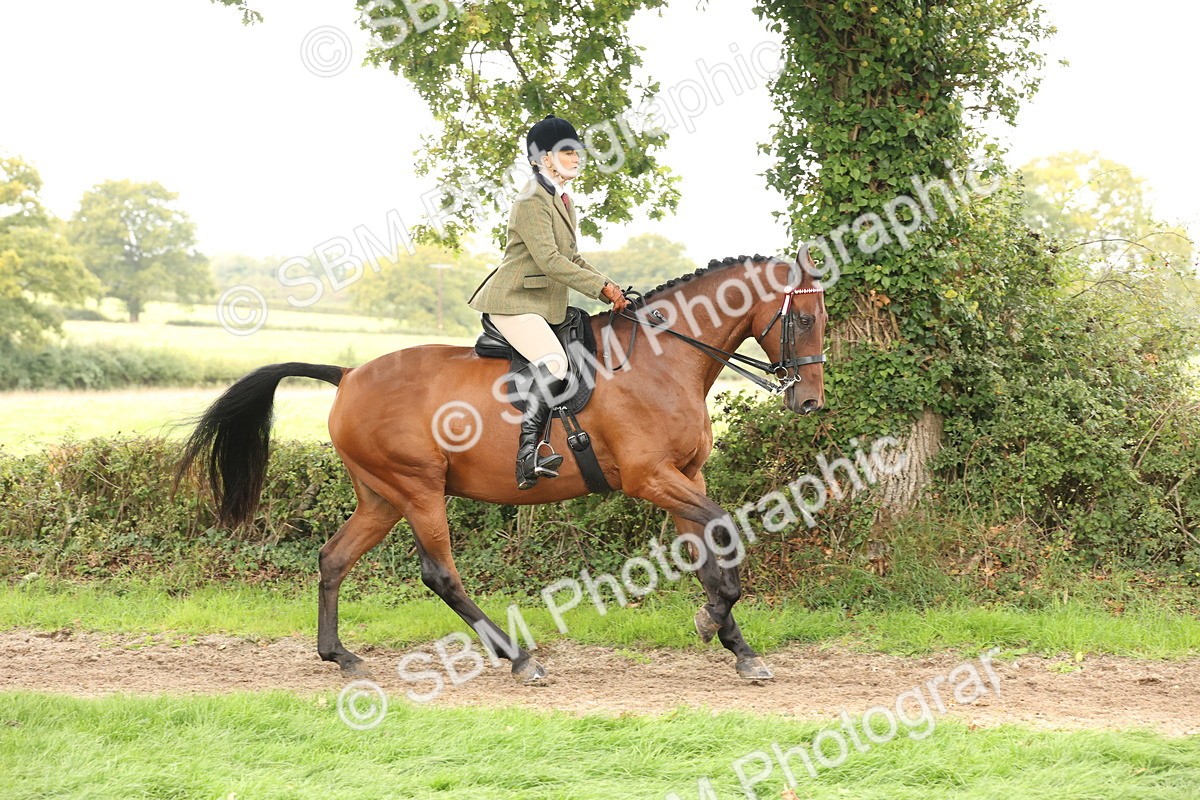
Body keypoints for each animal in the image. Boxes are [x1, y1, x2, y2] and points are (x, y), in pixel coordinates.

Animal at [176, 253, 827, 682]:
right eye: (802, 319)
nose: (809, 401)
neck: (663, 358)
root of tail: (349, 374)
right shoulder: (652, 479)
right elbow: (724, 534)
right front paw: (712, 620)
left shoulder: (686, 477)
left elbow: (708, 552)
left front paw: (735, 644)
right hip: (418, 489)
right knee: (440, 575)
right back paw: (518, 658)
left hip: (381, 497)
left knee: (334, 558)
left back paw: (341, 656)